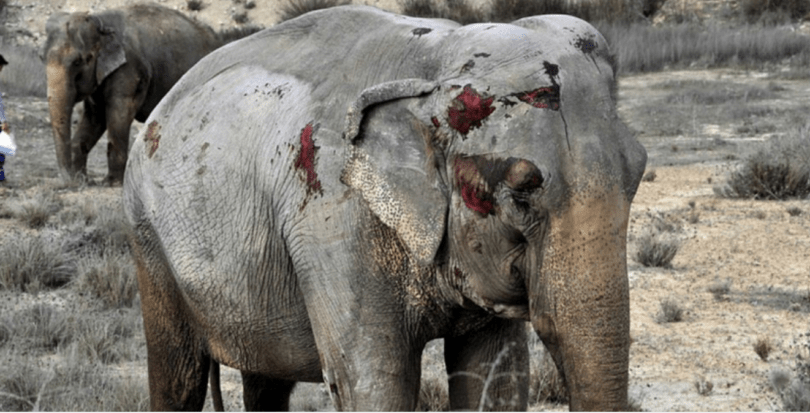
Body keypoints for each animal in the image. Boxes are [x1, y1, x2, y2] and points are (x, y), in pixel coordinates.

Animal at [43, 3, 259, 184]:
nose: (71, 182)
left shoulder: (129, 71)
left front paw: (111, 183)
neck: (101, 21)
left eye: (78, 62)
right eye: (42, 58)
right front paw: (84, 180)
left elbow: (117, 115)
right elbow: (94, 118)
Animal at [123, 5, 647, 411]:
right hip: (147, 237)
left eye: (639, 171)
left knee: (266, 380)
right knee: (178, 374)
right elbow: (374, 383)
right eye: (521, 193)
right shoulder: (333, 224)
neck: (434, 63)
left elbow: (492, 376)